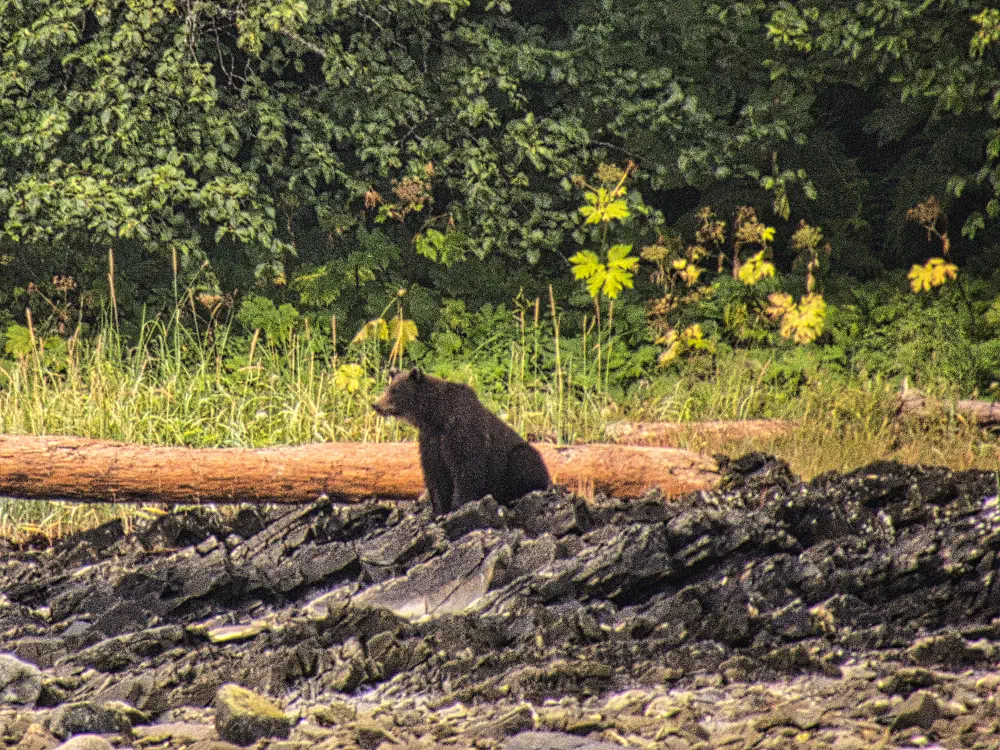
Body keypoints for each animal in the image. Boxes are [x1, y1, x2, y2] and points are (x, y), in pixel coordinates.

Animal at [372, 367, 551, 515]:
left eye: (395, 390)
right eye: (387, 388)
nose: (376, 404)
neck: (436, 417)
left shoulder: (461, 431)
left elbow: (466, 468)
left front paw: (458, 507)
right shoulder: (431, 439)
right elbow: (435, 474)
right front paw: (439, 511)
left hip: (519, 459)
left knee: (523, 460)